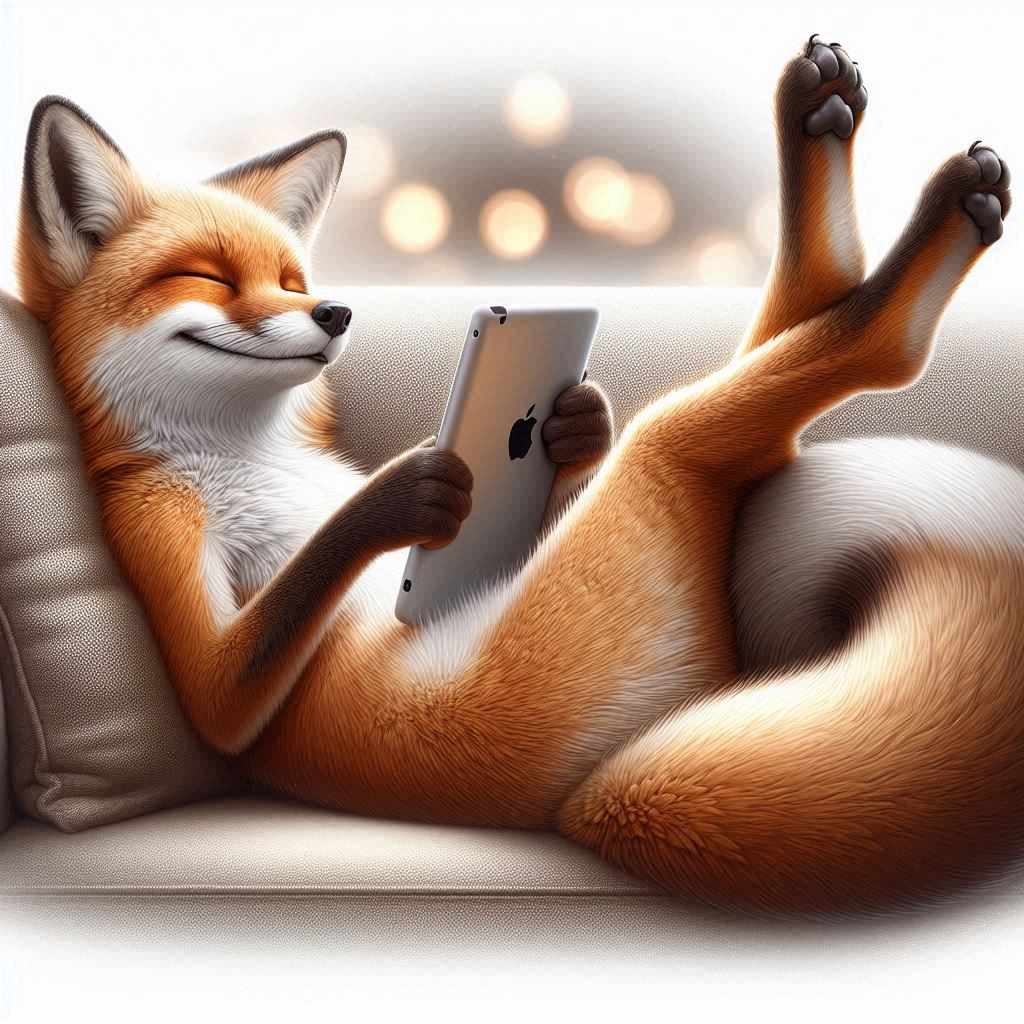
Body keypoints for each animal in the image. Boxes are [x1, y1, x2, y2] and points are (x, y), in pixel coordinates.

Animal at [14, 35, 1024, 917]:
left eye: (294, 280)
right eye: (209, 278)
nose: (337, 313)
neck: (245, 452)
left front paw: (576, 425)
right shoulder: (157, 535)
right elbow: (227, 693)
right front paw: (403, 494)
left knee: (801, 325)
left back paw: (825, 122)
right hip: (642, 510)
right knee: (843, 366)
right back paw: (925, 236)